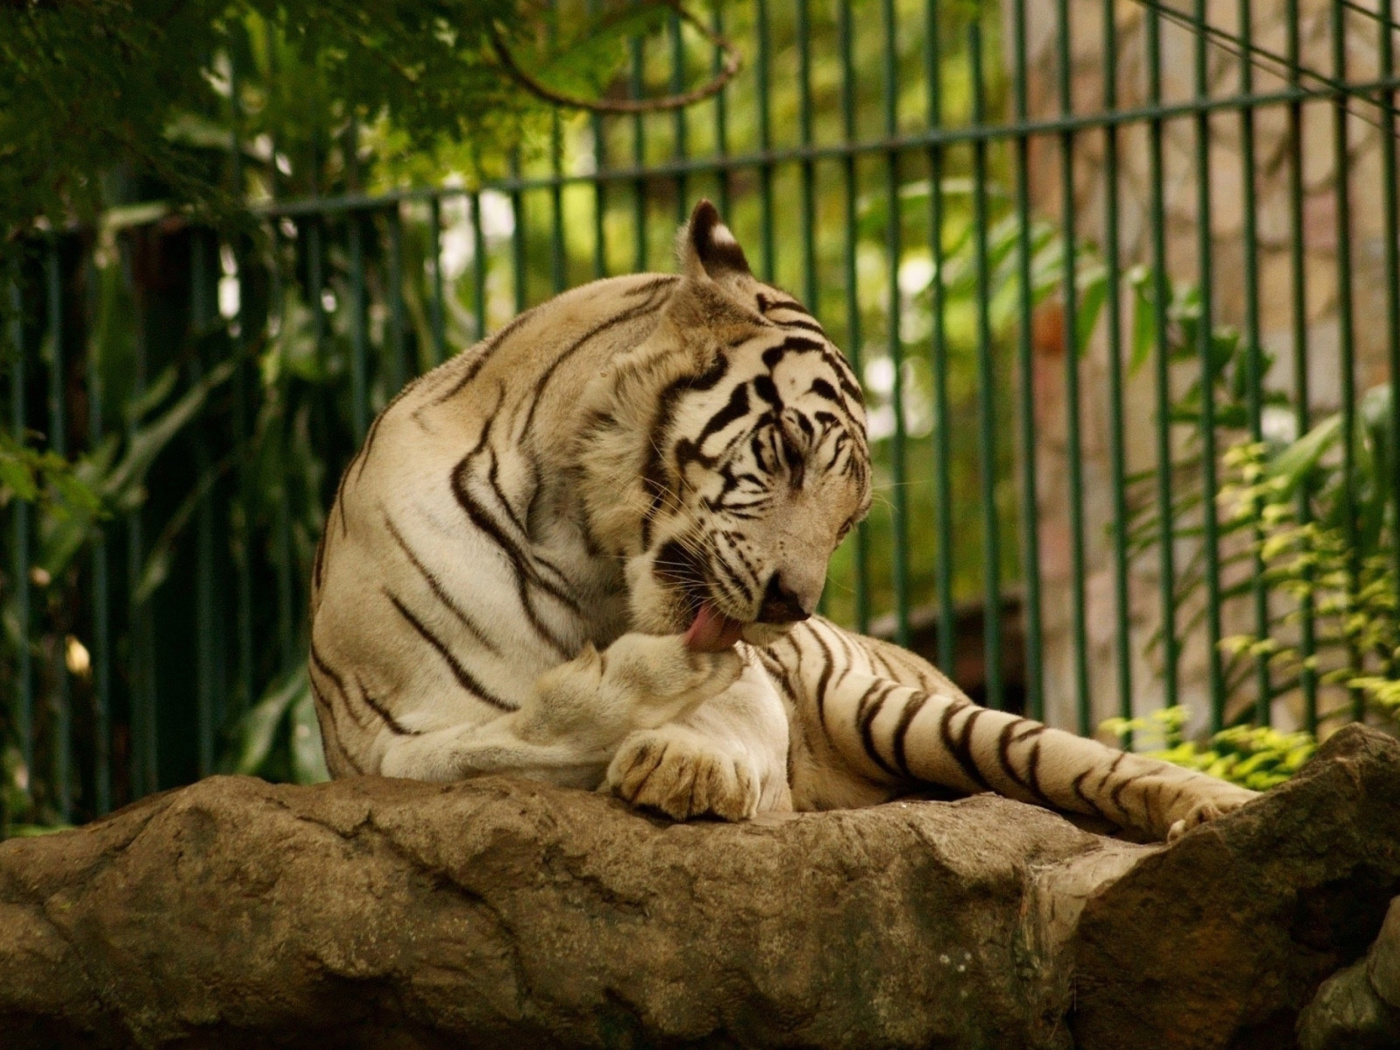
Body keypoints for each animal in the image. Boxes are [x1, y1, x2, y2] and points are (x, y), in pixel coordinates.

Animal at [309, 197, 1260, 845]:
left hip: (909, 712)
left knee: (1092, 760)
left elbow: (724, 717)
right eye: (791, 453)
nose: (790, 607)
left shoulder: (760, 693)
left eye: (848, 522)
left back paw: (1221, 810)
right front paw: (638, 694)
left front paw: (684, 761)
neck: (582, 548)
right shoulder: (385, 741)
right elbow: (500, 740)